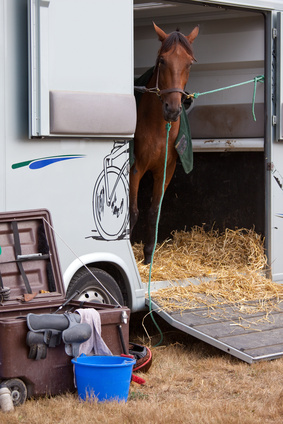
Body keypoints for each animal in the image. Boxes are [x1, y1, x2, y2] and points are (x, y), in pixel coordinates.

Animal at [131, 22, 200, 264]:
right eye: (162, 60)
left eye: (189, 63)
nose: (172, 109)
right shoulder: (135, 168)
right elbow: (133, 212)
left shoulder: (164, 171)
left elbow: (154, 212)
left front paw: (148, 256)